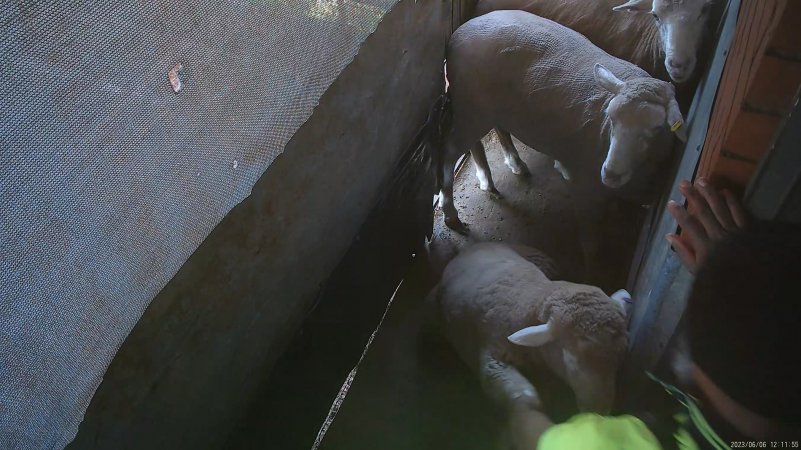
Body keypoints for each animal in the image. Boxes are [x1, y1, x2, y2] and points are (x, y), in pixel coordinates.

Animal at [434, 244, 628, 448]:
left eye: (620, 357)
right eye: (571, 360)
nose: (599, 411)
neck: (531, 298)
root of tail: (473, 246)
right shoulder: (493, 355)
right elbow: (524, 396)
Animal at [440, 11, 684, 282]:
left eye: (657, 128)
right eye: (610, 117)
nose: (609, 174)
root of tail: (461, 31)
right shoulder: (584, 187)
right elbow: (591, 241)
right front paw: (594, 273)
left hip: (484, 107)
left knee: (492, 133)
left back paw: (506, 168)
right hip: (471, 105)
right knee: (449, 152)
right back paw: (452, 214)